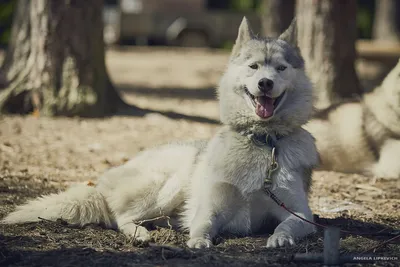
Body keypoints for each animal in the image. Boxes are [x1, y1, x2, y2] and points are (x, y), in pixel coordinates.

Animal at [2, 17, 318, 250]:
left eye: (281, 68)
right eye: (254, 67)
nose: (265, 83)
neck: (263, 141)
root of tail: (103, 184)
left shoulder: (300, 213)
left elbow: (289, 223)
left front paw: (280, 238)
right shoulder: (210, 206)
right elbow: (202, 223)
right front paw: (198, 241)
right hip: (171, 183)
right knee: (122, 217)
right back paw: (140, 234)